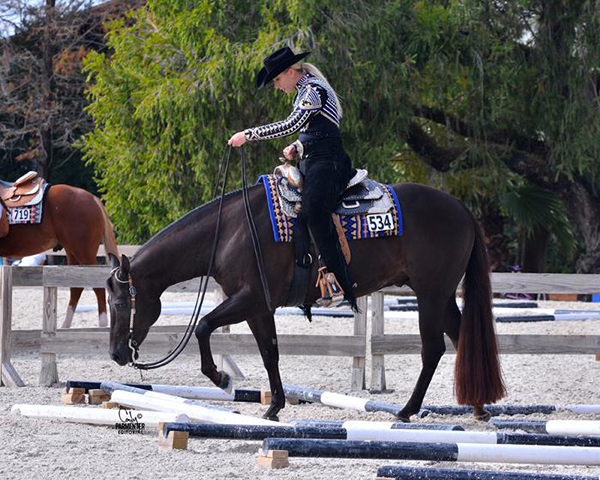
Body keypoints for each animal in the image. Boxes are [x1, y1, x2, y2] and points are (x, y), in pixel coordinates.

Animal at [0, 184, 119, 326]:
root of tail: (92, 198)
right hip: (72, 252)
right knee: (76, 288)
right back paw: (65, 326)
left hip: (84, 253)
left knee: (97, 287)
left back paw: (101, 325)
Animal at [106, 182, 506, 422]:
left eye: (121, 304)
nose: (116, 353)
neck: (231, 230)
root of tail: (461, 208)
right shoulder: (259, 306)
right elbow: (270, 352)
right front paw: (274, 406)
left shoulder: (249, 297)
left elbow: (204, 326)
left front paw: (222, 379)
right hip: (441, 295)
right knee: (461, 338)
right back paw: (479, 407)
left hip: (431, 293)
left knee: (433, 348)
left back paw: (408, 410)